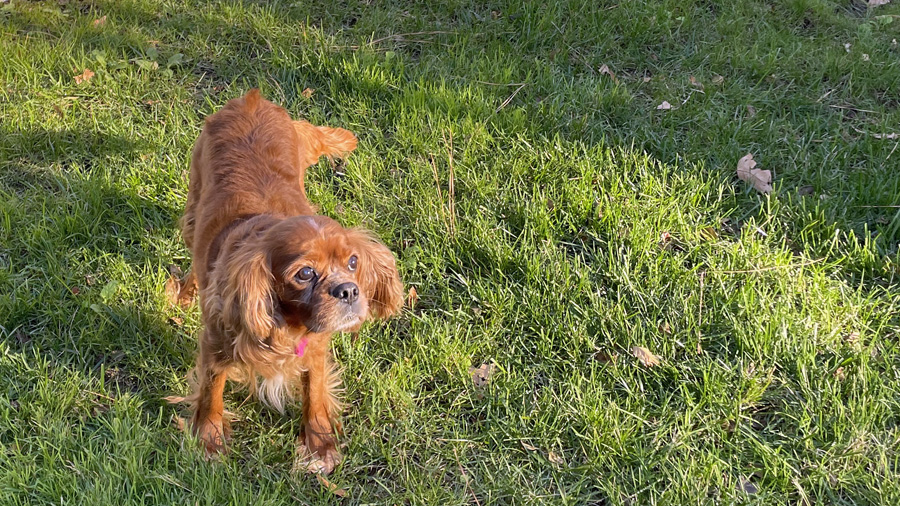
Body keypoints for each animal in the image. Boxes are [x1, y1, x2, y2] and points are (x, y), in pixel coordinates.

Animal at [176, 89, 400, 472]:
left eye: (353, 262)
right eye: (305, 273)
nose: (348, 290)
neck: (289, 325)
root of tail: (252, 99)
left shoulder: (316, 349)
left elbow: (315, 394)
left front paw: (319, 445)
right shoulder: (216, 344)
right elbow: (211, 391)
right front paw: (209, 440)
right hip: (194, 205)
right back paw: (187, 293)